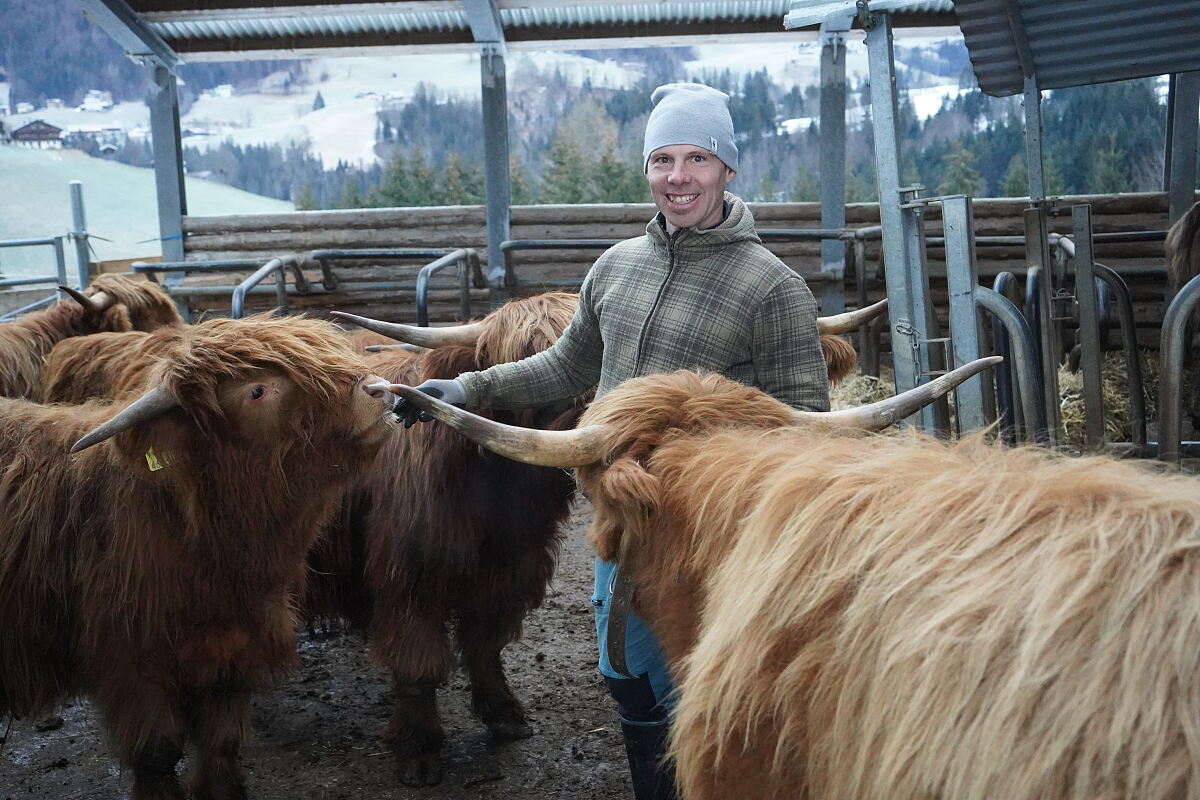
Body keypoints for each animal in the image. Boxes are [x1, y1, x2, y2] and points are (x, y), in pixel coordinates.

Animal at [0, 314, 396, 800]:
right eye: (257, 391)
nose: (378, 390)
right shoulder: (131, 664)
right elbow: (157, 755)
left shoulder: (233, 649)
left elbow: (222, 742)